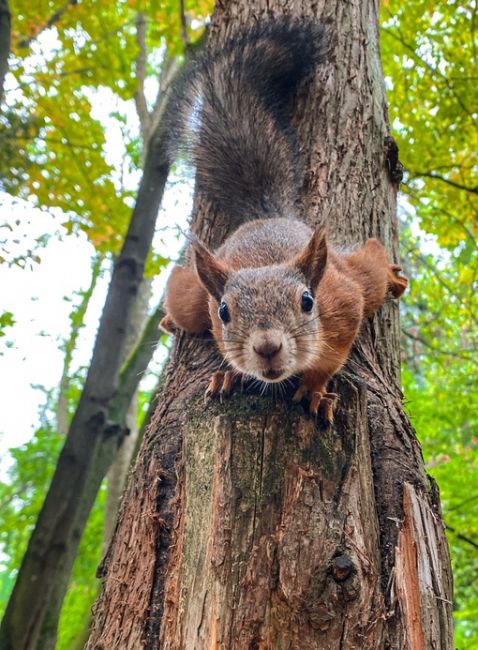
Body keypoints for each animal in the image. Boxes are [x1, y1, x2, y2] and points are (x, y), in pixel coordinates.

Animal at [160, 20, 408, 420]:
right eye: (225, 311)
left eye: (307, 301)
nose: (267, 347)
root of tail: (267, 216)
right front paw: (229, 376)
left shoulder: (344, 304)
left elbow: (330, 359)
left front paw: (314, 389)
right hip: (194, 301)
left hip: (355, 277)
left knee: (370, 260)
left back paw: (390, 273)